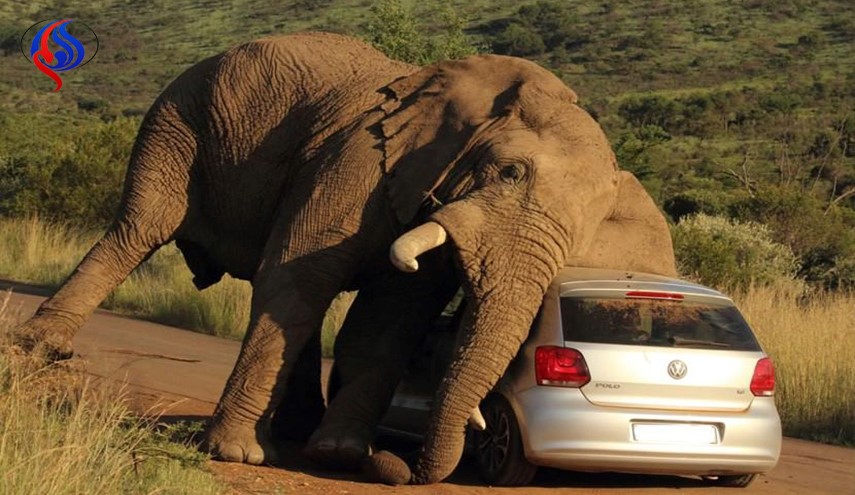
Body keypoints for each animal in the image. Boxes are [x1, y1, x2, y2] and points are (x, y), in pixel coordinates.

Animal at [11, 33, 676, 486]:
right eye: (510, 172)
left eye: (588, 226)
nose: (396, 463)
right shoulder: (363, 159)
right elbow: (300, 275)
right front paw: (239, 455)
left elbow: (390, 316)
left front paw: (340, 455)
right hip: (178, 118)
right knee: (140, 229)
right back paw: (42, 349)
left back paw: (295, 432)